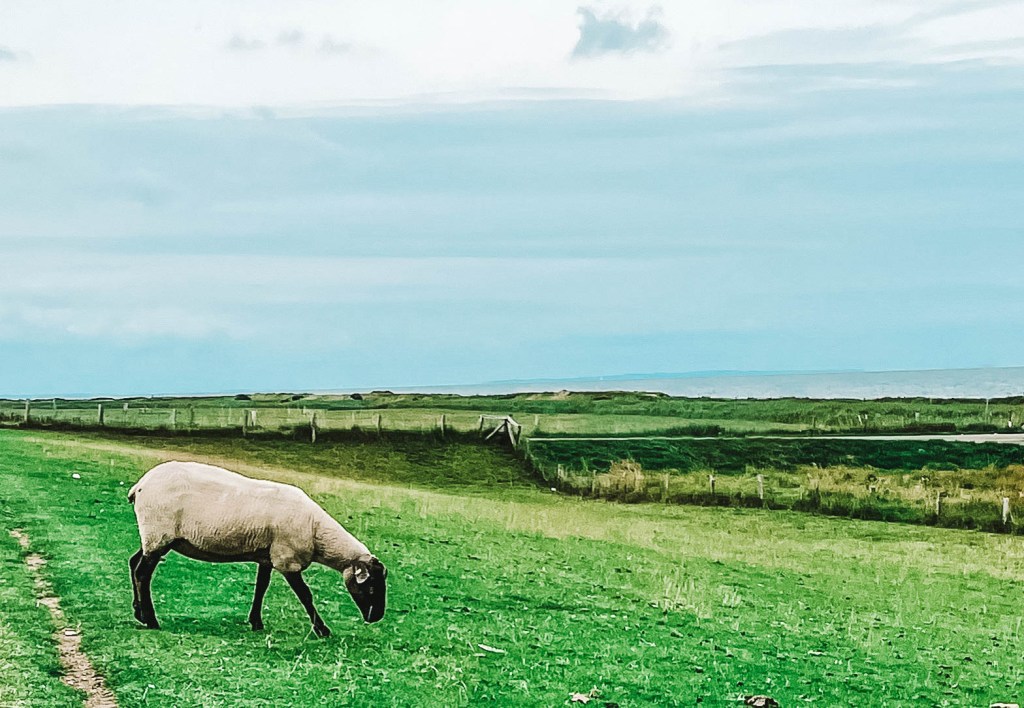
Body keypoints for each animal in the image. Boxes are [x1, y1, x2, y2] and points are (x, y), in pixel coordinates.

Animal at [127, 460, 387, 637]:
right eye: (372, 586)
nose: (377, 617)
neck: (316, 531)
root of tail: (140, 485)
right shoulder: (286, 559)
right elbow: (305, 595)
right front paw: (322, 630)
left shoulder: (267, 557)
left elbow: (261, 587)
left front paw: (256, 622)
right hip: (158, 534)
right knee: (142, 573)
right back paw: (151, 620)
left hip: (154, 537)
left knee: (133, 562)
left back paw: (139, 613)